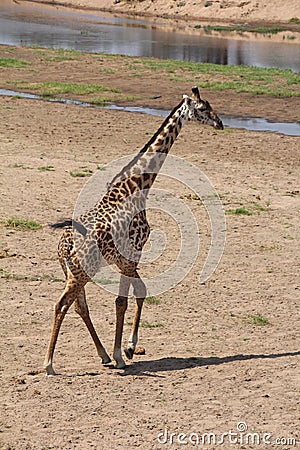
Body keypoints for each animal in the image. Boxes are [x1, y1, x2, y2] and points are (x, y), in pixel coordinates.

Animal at [44, 86, 223, 374]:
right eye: (202, 108)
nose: (220, 123)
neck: (138, 185)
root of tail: (64, 246)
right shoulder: (133, 252)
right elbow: (123, 300)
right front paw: (122, 353)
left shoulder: (125, 259)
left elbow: (139, 292)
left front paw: (126, 348)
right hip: (82, 271)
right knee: (62, 305)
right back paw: (49, 364)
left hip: (73, 271)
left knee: (79, 307)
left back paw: (102, 354)